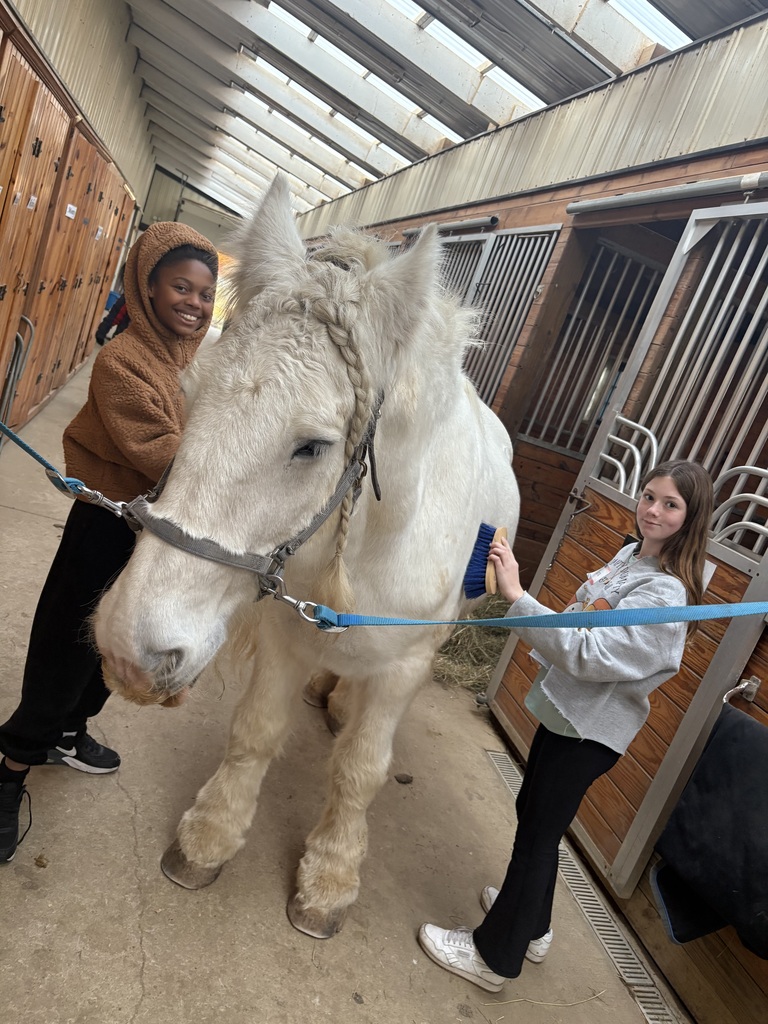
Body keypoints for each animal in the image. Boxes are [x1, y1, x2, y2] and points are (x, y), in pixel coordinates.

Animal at [93, 175, 520, 939]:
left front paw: (329, 878)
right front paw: (209, 839)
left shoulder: (404, 663)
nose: (128, 649)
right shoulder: (285, 632)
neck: (376, 541)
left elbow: (361, 769)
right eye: (190, 397)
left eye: (313, 447)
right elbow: (256, 732)